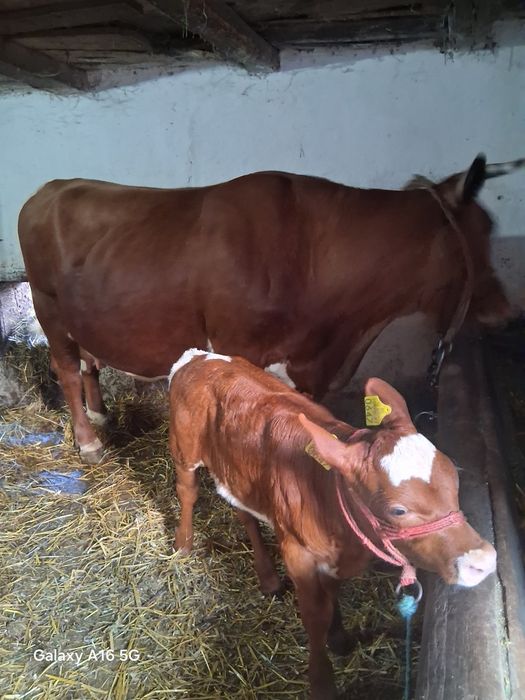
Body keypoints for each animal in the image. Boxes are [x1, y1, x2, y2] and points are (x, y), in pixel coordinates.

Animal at [18, 155, 518, 462]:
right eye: (480, 231)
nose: (505, 311)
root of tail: (49, 188)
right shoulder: (239, 348)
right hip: (47, 307)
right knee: (66, 368)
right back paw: (88, 442)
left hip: (86, 313)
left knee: (89, 359)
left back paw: (101, 414)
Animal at [168, 349, 497, 699]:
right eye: (398, 510)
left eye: (454, 479)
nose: (482, 561)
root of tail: (201, 357)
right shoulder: (298, 554)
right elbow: (316, 615)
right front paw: (322, 680)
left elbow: (332, 596)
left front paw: (339, 638)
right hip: (184, 449)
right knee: (187, 492)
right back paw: (183, 544)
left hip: (234, 469)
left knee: (242, 510)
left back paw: (268, 578)